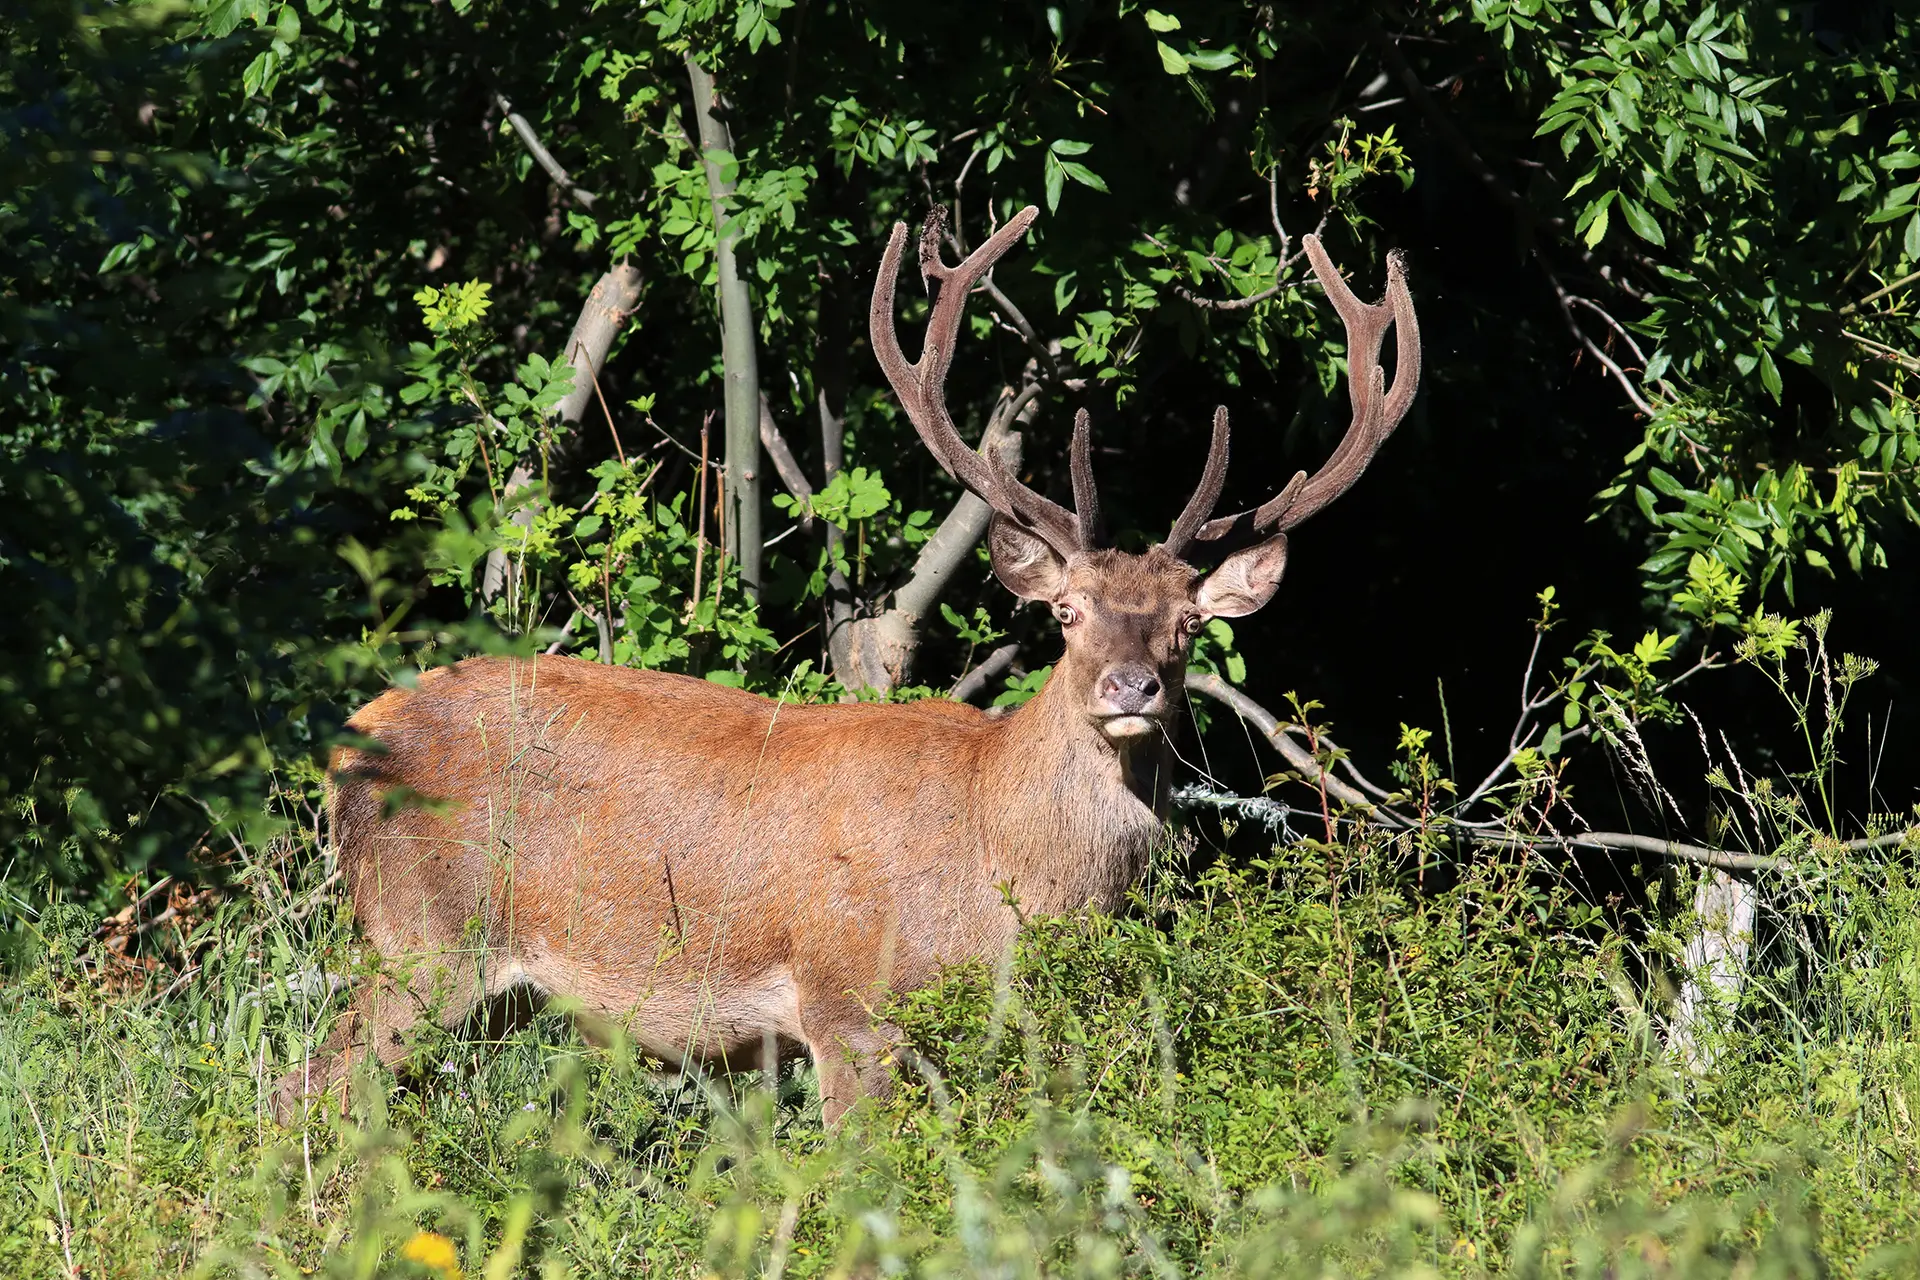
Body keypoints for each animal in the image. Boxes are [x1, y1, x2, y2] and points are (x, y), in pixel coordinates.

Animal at [271, 205, 1418, 1127]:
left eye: (1186, 622)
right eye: (1065, 612)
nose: (1129, 687)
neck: (999, 865)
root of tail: (352, 739)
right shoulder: (846, 1000)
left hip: (485, 986)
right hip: (423, 937)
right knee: (305, 1087)